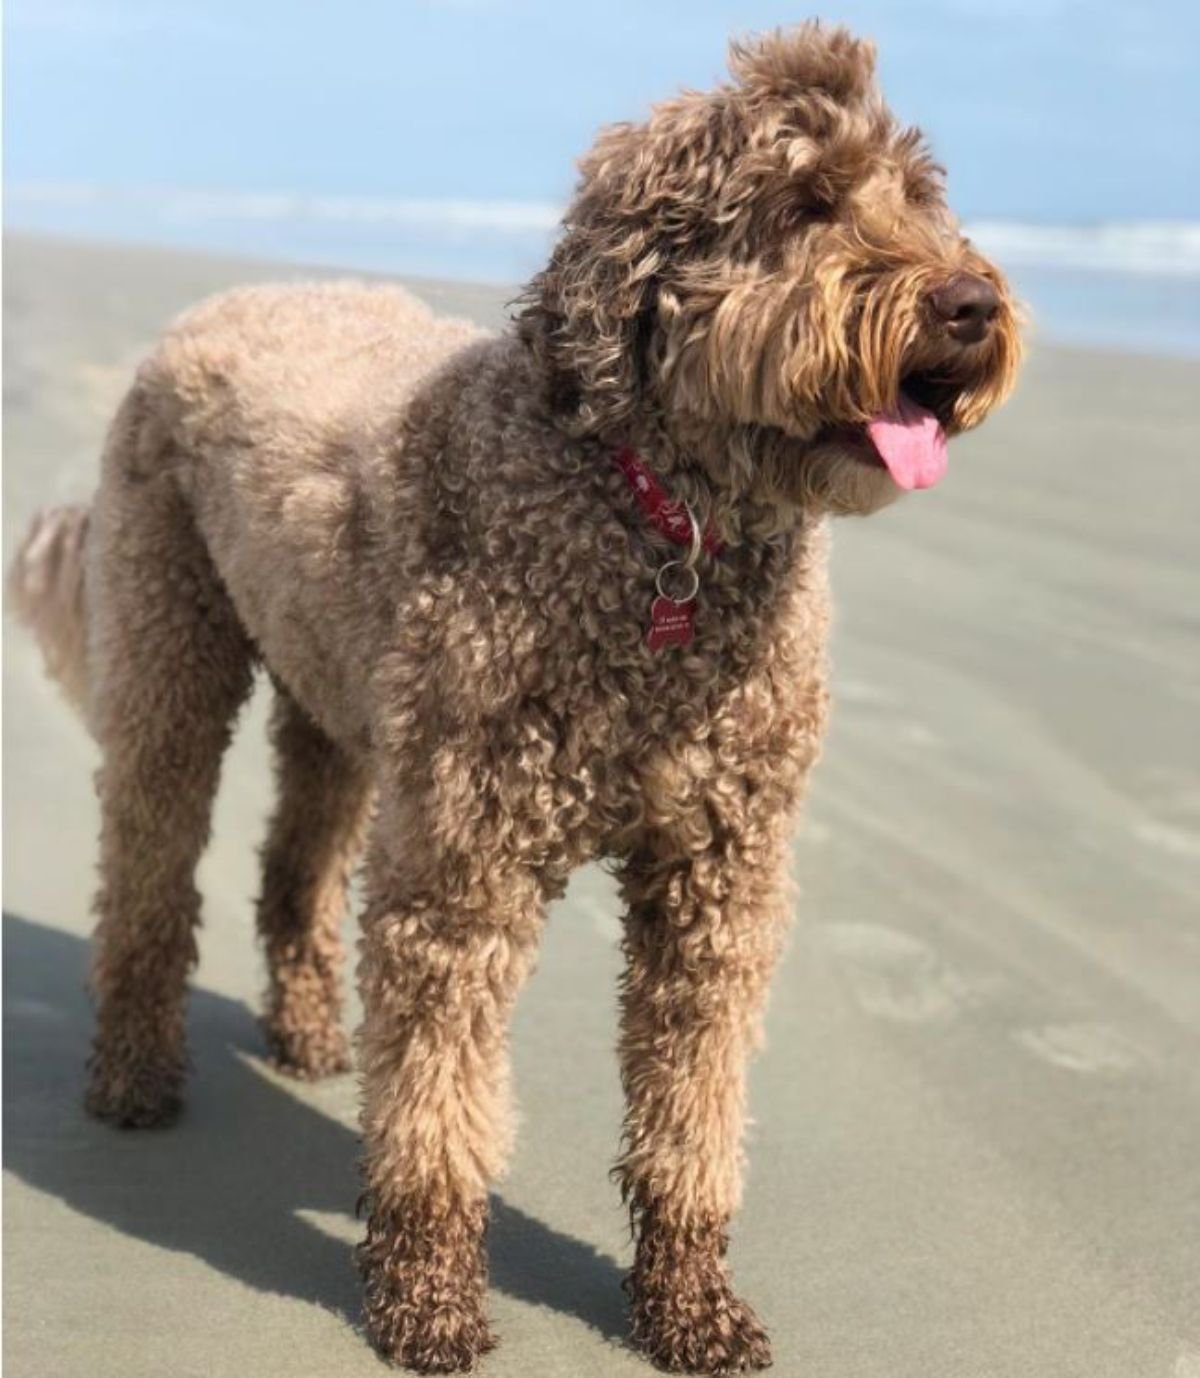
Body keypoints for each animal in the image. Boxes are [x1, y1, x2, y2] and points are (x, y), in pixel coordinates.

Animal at [9, 21, 1025, 1378]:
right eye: (806, 202)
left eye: (919, 195)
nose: (972, 304)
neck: (661, 522)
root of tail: (226, 298)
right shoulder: (466, 864)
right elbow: (441, 1102)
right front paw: (430, 1295)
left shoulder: (724, 874)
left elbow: (693, 1105)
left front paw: (689, 1299)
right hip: (176, 651)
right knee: (149, 870)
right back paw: (131, 1076)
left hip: (344, 705)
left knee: (294, 864)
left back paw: (310, 1035)